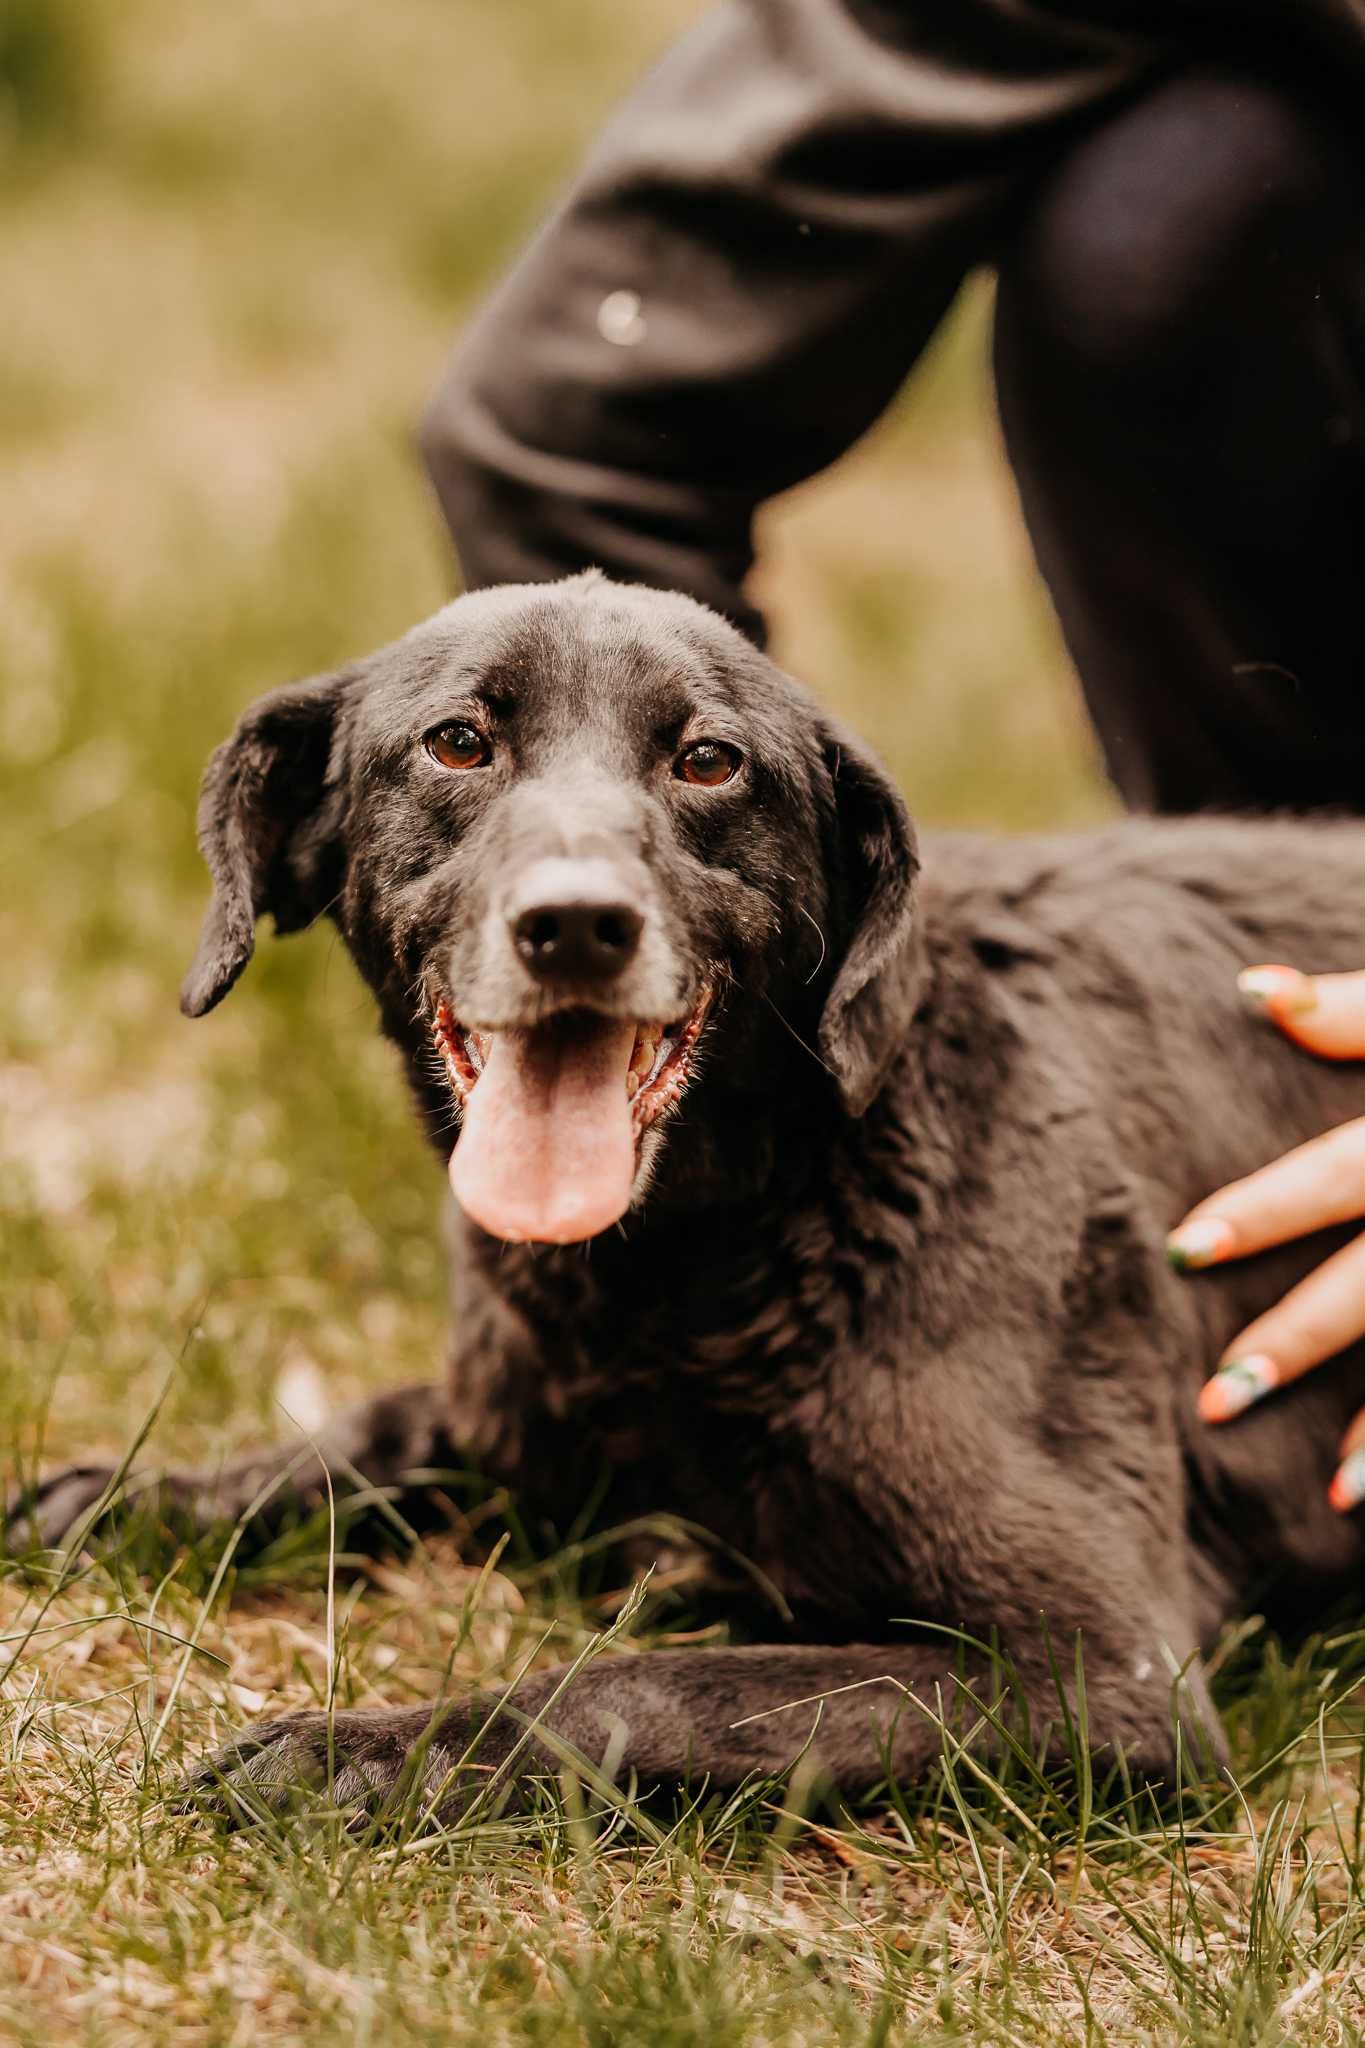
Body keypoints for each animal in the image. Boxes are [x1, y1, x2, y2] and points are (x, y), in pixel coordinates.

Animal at [18, 577, 1365, 1826]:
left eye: (709, 759)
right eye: (457, 740)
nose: (575, 924)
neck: (695, 1260)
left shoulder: (1103, 1669)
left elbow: (649, 1686)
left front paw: (362, 1749)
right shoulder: (518, 1408)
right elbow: (377, 1430)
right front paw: (151, 1493)